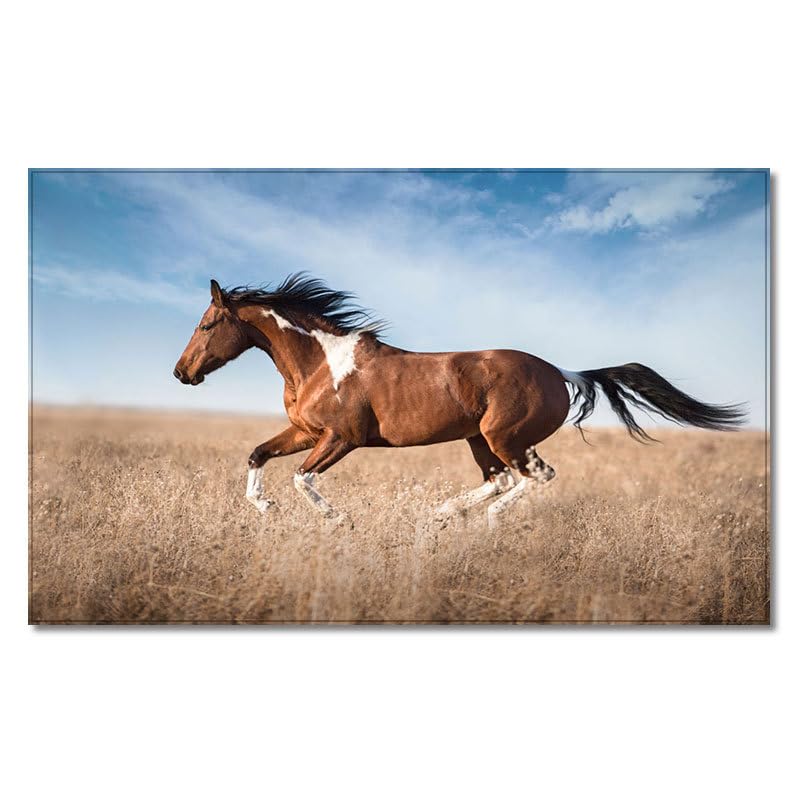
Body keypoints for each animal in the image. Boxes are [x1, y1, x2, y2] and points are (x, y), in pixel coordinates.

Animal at [174, 274, 745, 527]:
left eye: (207, 324)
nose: (182, 373)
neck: (320, 362)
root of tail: (561, 372)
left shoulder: (342, 437)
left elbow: (301, 477)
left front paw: (336, 519)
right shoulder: (307, 432)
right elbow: (258, 455)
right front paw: (264, 506)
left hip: (503, 436)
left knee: (532, 477)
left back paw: (480, 521)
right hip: (478, 439)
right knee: (499, 480)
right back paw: (443, 513)